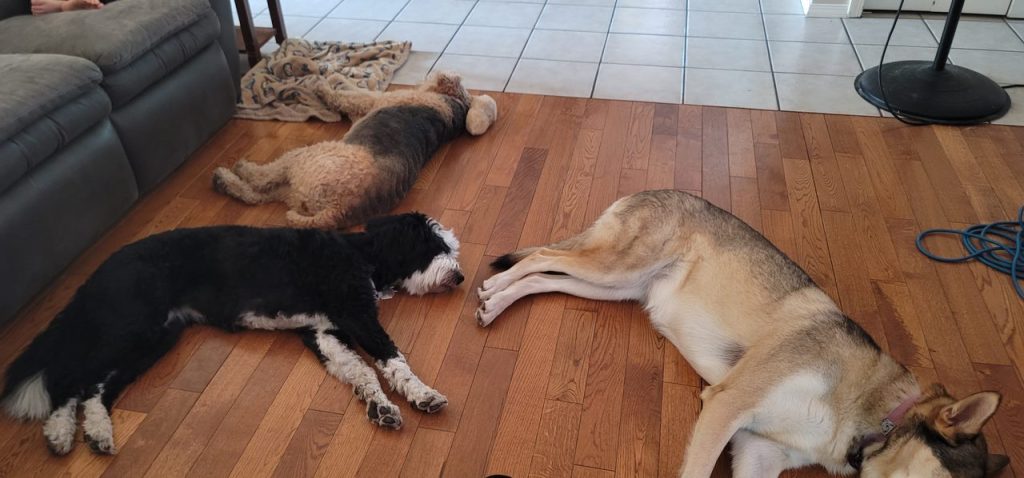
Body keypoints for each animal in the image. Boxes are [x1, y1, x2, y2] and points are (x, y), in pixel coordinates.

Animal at [2, 213, 463, 455]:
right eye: (437, 248)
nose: (459, 276)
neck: (360, 253)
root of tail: (102, 269)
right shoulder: (356, 315)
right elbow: (392, 360)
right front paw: (422, 394)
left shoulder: (323, 332)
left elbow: (362, 372)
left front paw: (379, 407)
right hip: (128, 325)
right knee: (71, 376)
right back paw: (60, 430)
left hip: (154, 338)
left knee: (97, 387)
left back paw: (97, 432)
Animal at [211, 72, 498, 230]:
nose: (422, 78)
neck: (451, 104)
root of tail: (338, 210)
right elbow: (350, 92)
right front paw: (337, 78)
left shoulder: (373, 101)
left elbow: (348, 95)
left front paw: (322, 85)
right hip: (294, 191)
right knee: (253, 195)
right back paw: (224, 181)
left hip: (304, 158)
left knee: (262, 178)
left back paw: (235, 170)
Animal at [476, 190, 1008, 478]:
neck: (874, 418)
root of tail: (649, 190)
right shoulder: (728, 403)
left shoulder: (757, 451)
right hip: (613, 268)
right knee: (542, 255)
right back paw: (493, 287)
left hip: (614, 287)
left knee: (544, 278)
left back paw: (498, 302)